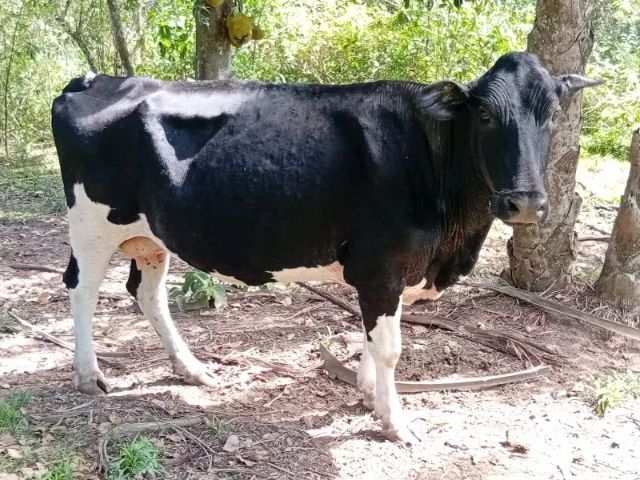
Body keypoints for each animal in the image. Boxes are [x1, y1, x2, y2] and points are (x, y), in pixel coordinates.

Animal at [51, 52, 601, 442]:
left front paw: (369, 395)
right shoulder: (380, 267)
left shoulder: (391, 273)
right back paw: (89, 375)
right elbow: (390, 348)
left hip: (150, 234)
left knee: (147, 292)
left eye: (553, 114)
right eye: (485, 114)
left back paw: (191, 369)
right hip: (92, 222)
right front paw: (394, 422)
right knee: (81, 289)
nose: (525, 202)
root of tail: (96, 80)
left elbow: (374, 337)